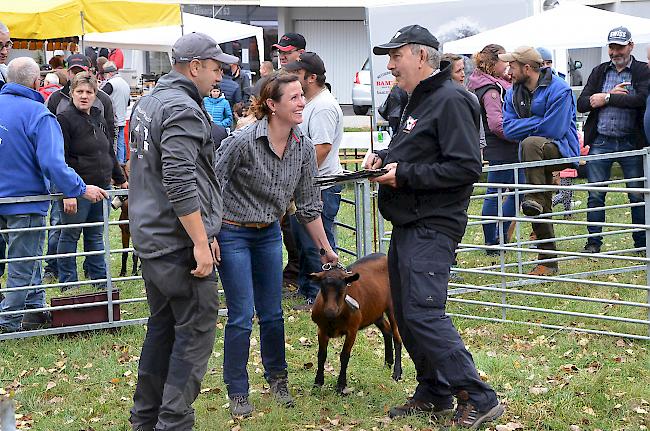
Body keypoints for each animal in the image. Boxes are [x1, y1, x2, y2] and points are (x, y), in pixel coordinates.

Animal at [308, 253, 400, 394]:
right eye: (322, 289)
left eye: (343, 289)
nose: (330, 312)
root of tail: (384, 255)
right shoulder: (321, 329)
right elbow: (321, 355)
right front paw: (318, 383)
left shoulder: (352, 330)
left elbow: (344, 356)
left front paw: (341, 386)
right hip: (375, 311)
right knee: (387, 330)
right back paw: (387, 364)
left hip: (393, 307)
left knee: (397, 336)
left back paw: (397, 373)